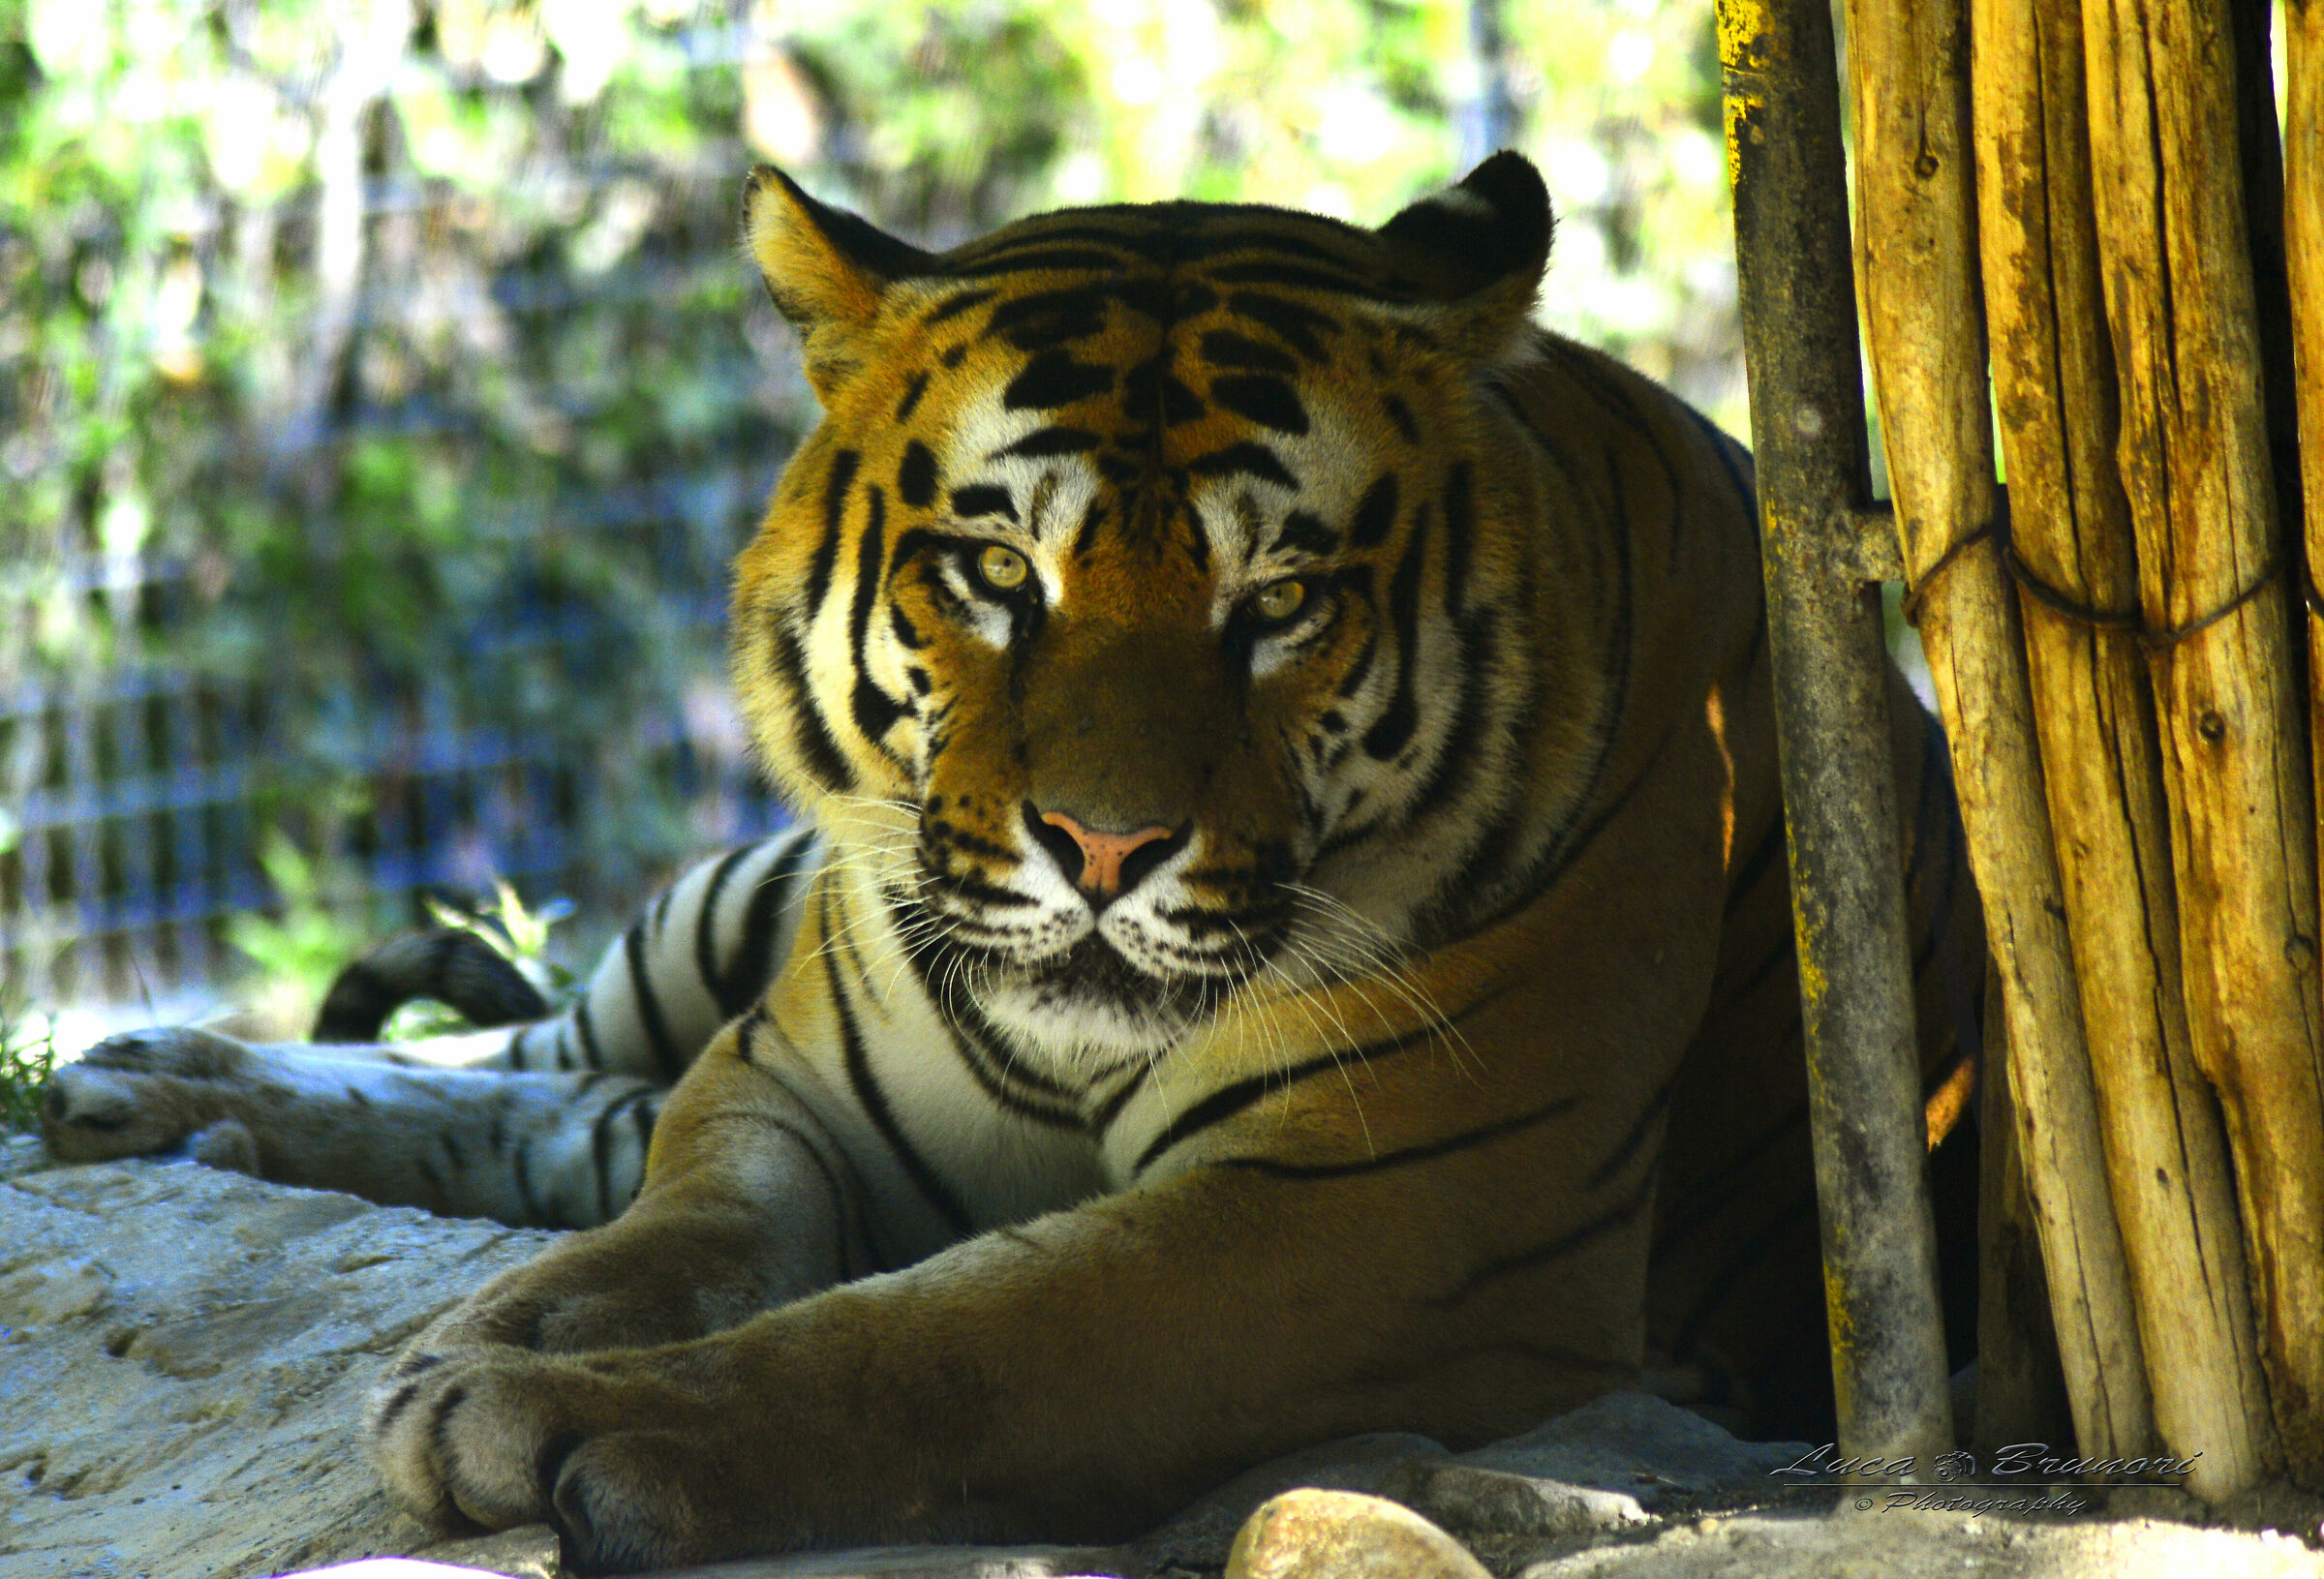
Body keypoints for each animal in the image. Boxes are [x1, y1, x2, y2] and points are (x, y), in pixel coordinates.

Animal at [40, 152, 1984, 1571]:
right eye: (995, 571)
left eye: (1280, 600)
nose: (1107, 845)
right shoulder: (783, 1073)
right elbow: (681, 1212)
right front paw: (520, 1327)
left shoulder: (1394, 1210)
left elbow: (942, 1336)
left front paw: (562, 1413)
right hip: (724, 914)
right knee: (547, 1056)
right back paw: (150, 1080)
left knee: (570, 1097)